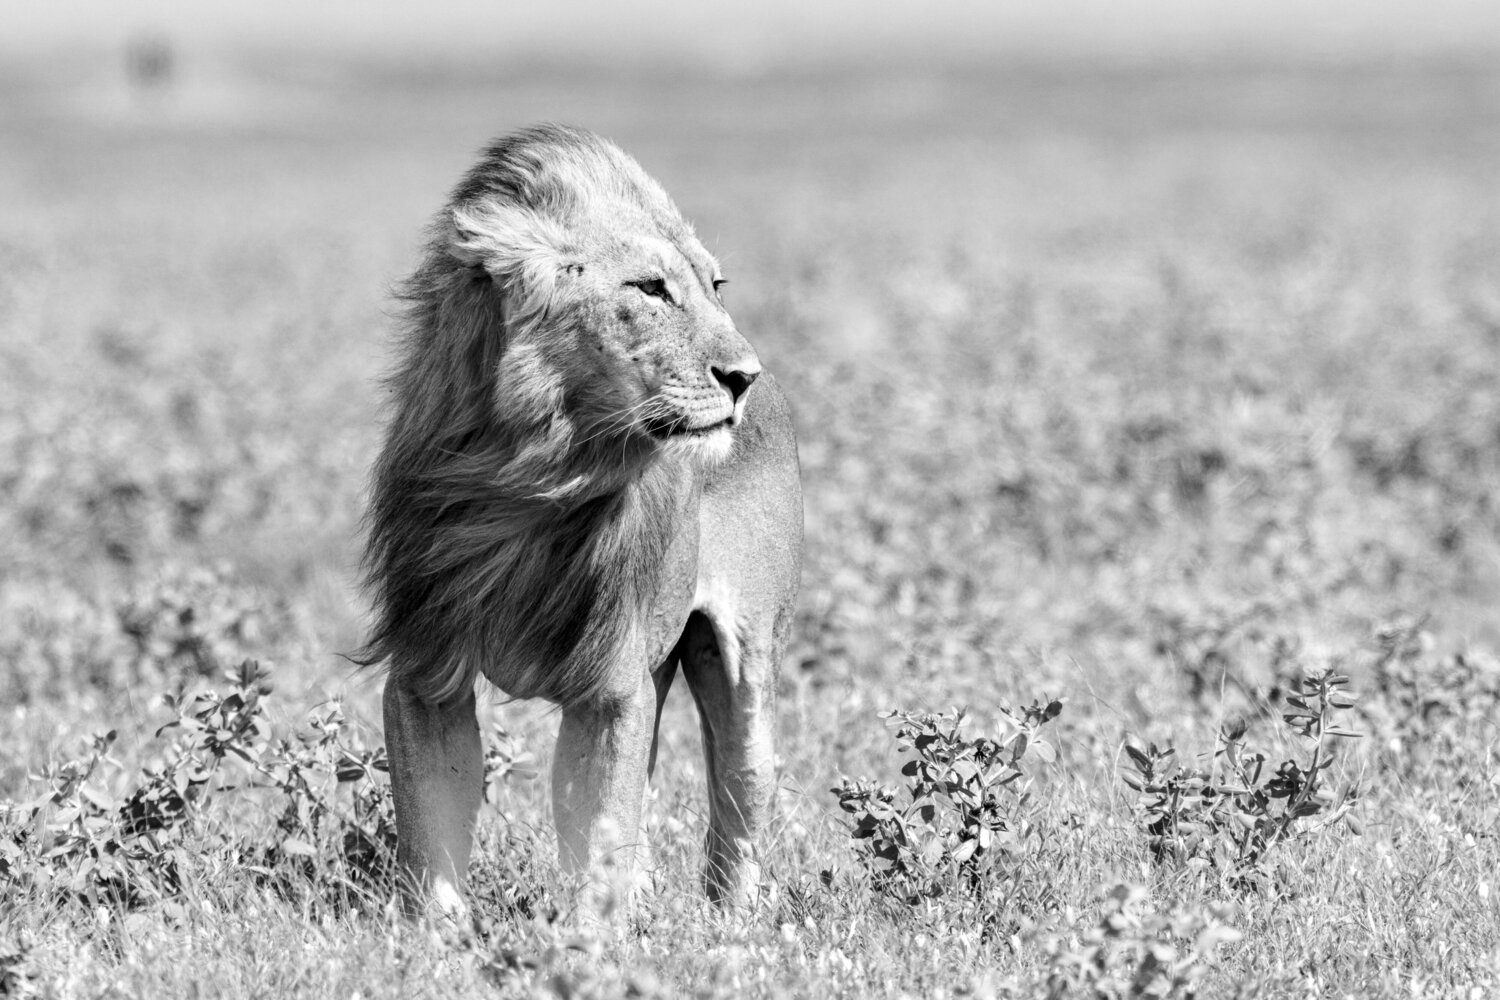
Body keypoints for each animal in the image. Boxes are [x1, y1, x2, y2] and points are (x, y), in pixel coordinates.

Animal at [359, 124, 802, 913]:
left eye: (714, 287)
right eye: (651, 289)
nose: (741, 377)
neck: (529, 478)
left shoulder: (609, 685)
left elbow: (597, 836)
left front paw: (588, 937)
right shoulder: (424, 668)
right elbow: (429, 838)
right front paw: (437, 935)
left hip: (744, 655)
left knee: (742, 785)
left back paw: (735, 919)